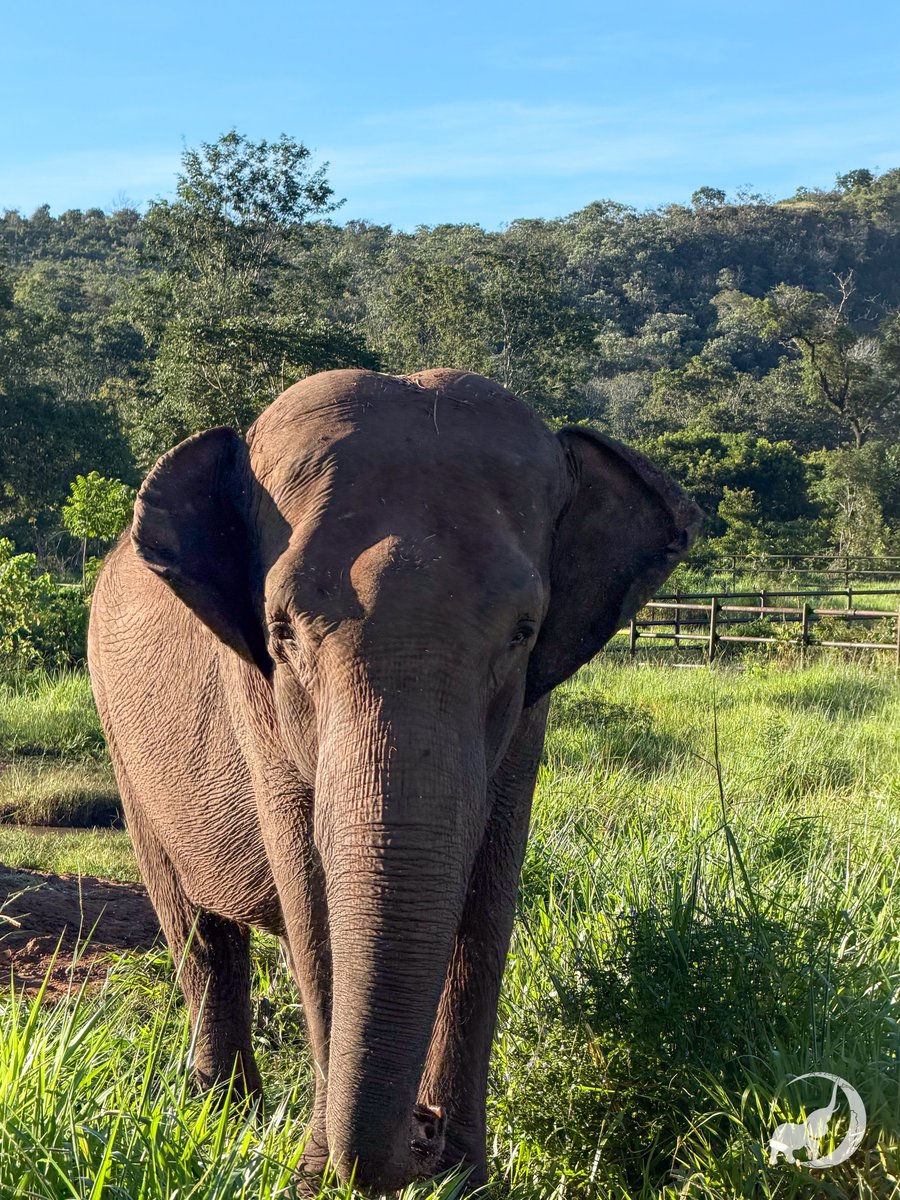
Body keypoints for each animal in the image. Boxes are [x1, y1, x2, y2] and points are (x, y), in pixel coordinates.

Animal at [88, 367, 702, 1191]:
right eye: (281, 632)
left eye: (524, 632)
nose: (423, 1131)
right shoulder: (258, 703)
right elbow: (311, 896)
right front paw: (319, 1181)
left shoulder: (529, 712)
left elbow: (488, 893)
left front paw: (466, 1182)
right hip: (122, 743)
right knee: (198, 931)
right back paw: (224, 1121)